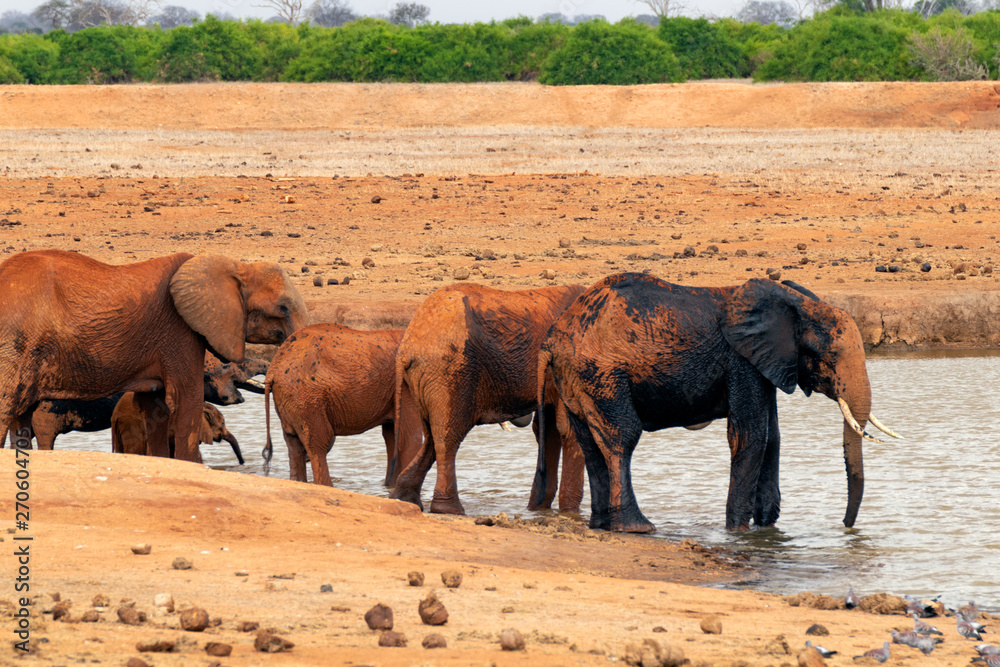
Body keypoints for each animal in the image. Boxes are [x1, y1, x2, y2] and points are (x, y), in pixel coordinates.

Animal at [262, 323, 422, 487]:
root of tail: (273, 369)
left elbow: (391, 436)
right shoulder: (406, 385)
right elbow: (410, 438)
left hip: (289, 400)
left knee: (294, 445)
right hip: (306, 399)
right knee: (318, 444)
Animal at [389, 282, 586, 516]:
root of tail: (406, 347)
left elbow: (549, 429)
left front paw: (542, 510)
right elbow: (570, 429)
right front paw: (570, 513)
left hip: (427, 379)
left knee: (431, 436)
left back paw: (404, 499)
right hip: (448, 372)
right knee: (448, 437)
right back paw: (450, 510)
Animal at [536, 273, 900, 533]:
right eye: (831, 357)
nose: (846, 527)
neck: (796, 304)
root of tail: (552, 337)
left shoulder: (765, 363)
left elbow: (772, 437)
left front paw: (767, 528)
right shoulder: (741, 361)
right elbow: (750, 436)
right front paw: (738, 532)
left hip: (575, 379)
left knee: (588, 442)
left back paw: (601, 526)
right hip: (602, 374)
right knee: (621, 438)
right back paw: (638, 528)